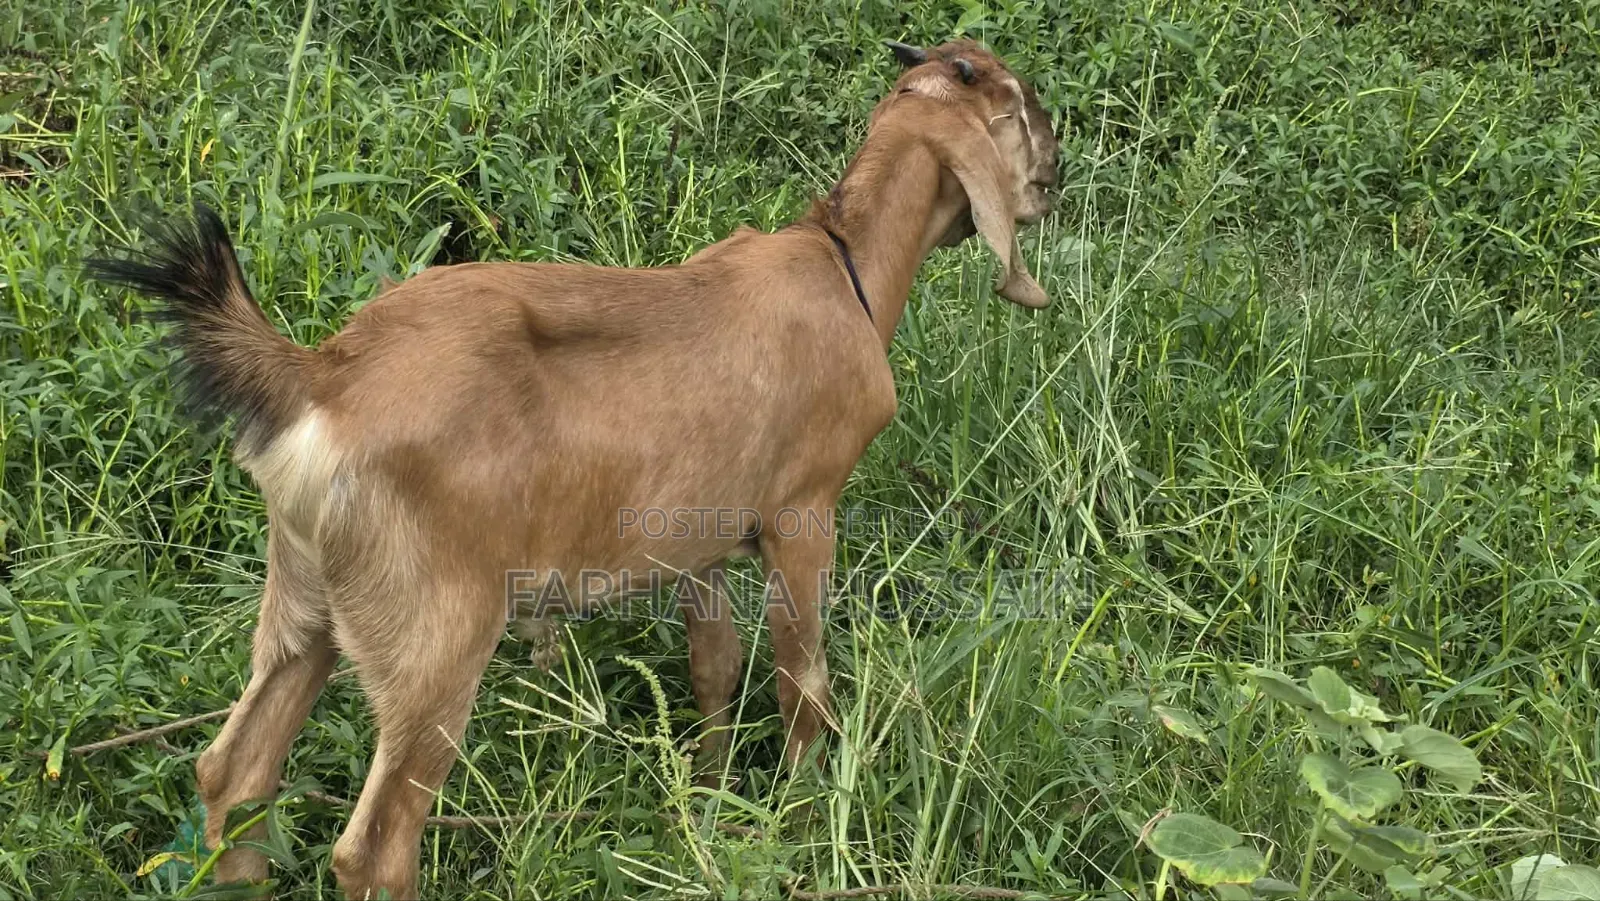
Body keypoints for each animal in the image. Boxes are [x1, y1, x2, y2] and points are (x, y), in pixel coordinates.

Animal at [87, 38, 1061, 900]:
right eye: (1015, 104)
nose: (1057, 164)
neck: (844, 265)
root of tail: (320, 376)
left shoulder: (699, 537)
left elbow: (713, 664)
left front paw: (708, 797)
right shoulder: (801, 512)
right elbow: (802, 678)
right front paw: (800, 809)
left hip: (304, 598)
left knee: (234, 769)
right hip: (437, 628)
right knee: (374, 846)